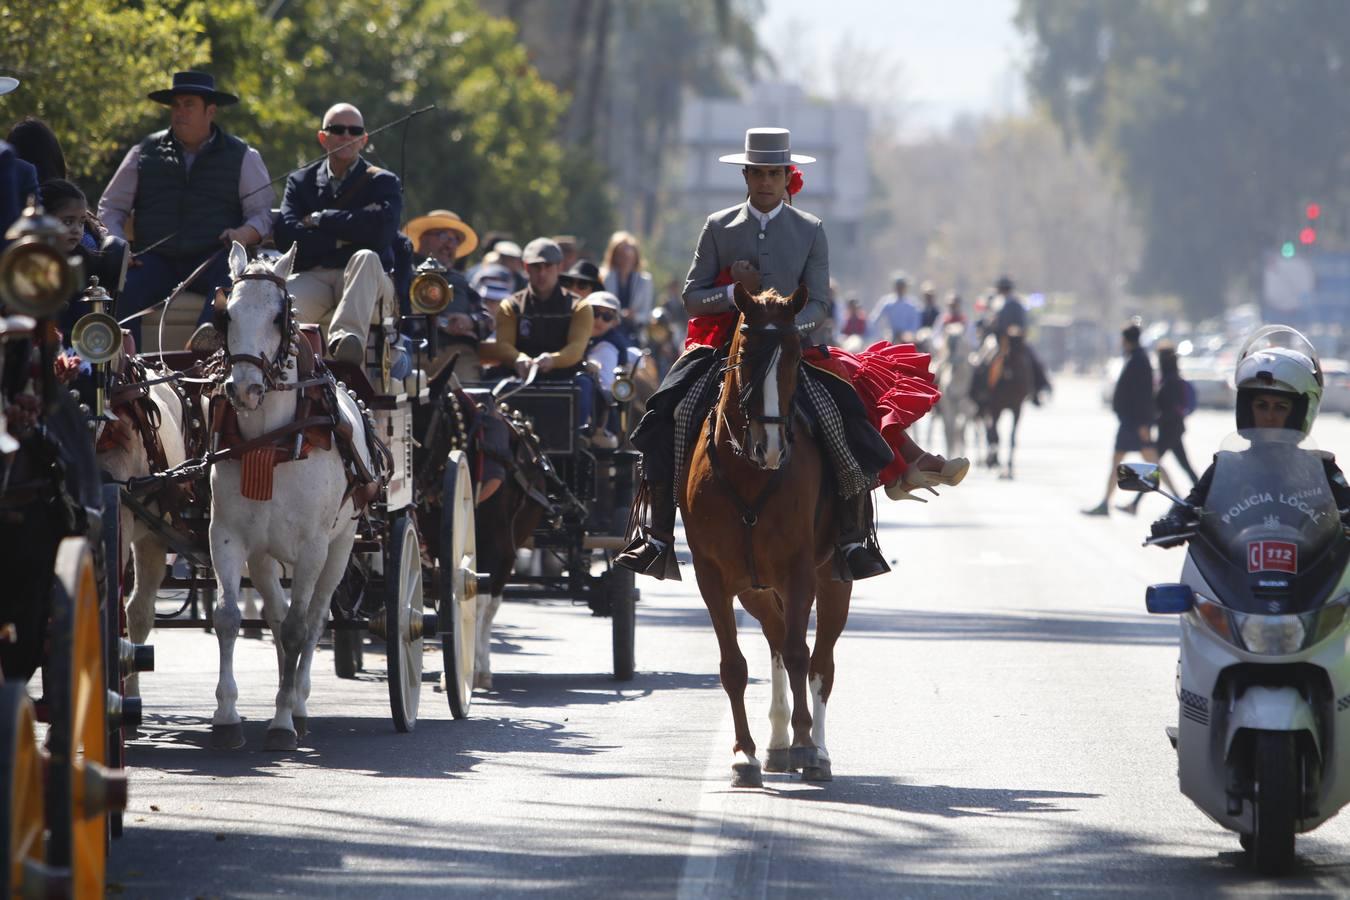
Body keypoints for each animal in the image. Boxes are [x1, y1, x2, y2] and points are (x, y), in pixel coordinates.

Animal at [206, 241, 359, 755]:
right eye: (226, 315)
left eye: (279, 317)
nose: (245, 388)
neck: (269, 444)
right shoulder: (227, 537)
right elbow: (229, 619)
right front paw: (227, 716)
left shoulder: (313, 546)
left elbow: (298, 629)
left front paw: (282, 722)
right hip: (265, 556)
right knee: (274, 618)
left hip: (340, 547)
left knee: (313, 620)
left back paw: (300, 704)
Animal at [685, 284, 853, 782]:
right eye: (746, 353)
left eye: (797, 356)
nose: (772, 447)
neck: (748, 473)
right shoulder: (712, 577)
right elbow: (734, 666)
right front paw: (745, 753)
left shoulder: (799, 571)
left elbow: (801, 654)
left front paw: (806, 744)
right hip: (754, 589)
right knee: (776, 637)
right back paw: (778, 743)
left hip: (832, 580)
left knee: (819, 661)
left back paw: (816, 749)